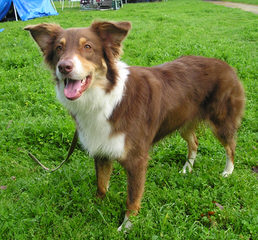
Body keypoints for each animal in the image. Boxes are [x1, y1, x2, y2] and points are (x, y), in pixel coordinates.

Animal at [25, 20, 245, 231]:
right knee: (194, 142)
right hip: (183, 121)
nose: (64, 67)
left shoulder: (137, 159)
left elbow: (132, 198)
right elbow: (101, 185)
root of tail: (226, 65)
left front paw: (126, 226)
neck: (105, 98)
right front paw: (97, 206)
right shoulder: (102, 150)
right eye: (59, 48)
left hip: (221, 121)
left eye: (88, 47)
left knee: (231, 146)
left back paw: (227, 172)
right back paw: (187, 168)